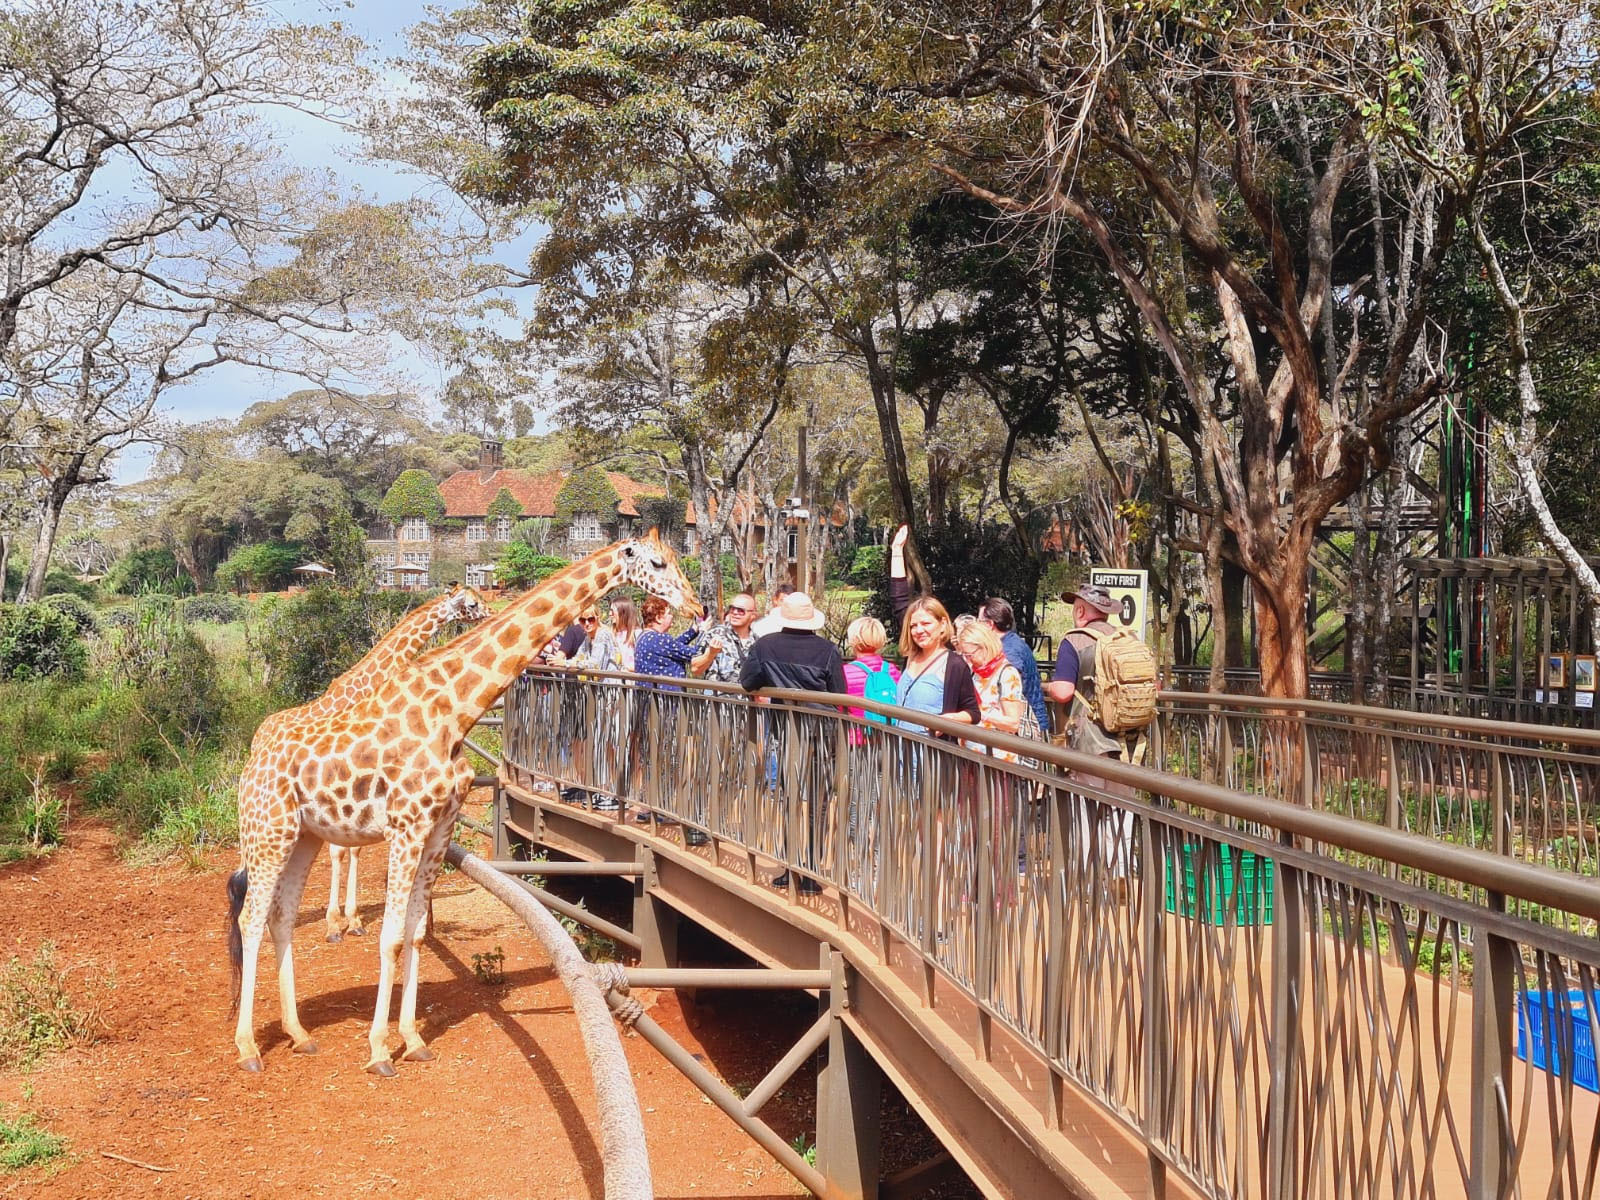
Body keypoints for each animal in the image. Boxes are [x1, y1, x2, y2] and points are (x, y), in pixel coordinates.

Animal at [244, 588, 486, 947]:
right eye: (472, 603)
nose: (490, 612)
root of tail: (259, 732)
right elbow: (338, 853)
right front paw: (334, 924)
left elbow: (353, 850)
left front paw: (354, 919)